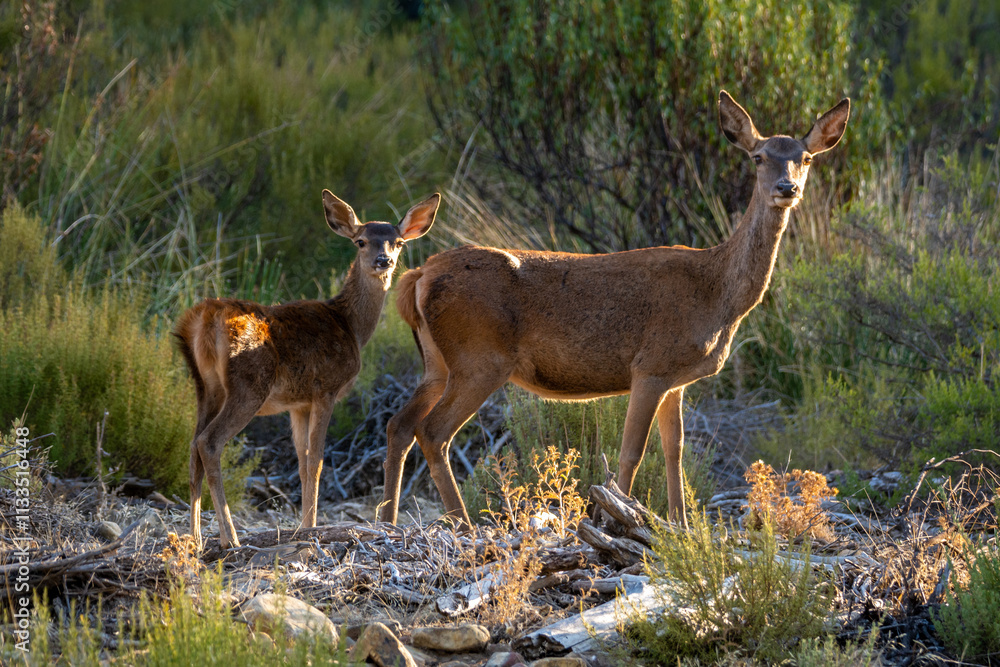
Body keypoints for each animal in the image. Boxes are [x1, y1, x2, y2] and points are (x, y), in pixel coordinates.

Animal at [174, 190, 439, 550]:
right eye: (360, 241)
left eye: (397, 242)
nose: (383, 261)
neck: (351, 325)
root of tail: (205, 318)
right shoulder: (326, 388)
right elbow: (317, 460)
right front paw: (311, 527)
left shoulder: (297, 403)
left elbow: (301, 461)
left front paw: (303, 524)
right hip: (248, 383)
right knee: (209, 443)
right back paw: (231, 537)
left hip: (204, 386)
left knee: (192, 446)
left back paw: (195, 537)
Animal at [379, 91, 849, 530]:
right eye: (758, 157)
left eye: (805, 158)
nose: (787, 189)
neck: (717, 295)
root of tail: (418, 275)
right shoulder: (651, 365)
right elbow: (631, 453)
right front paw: (618, 517)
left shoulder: (676, 380)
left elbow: (675, 451)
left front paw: (681, 525)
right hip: (480, 357)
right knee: (433, 432)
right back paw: (462, 522)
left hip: (438, 362)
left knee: (399, 424)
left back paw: (387, 520)